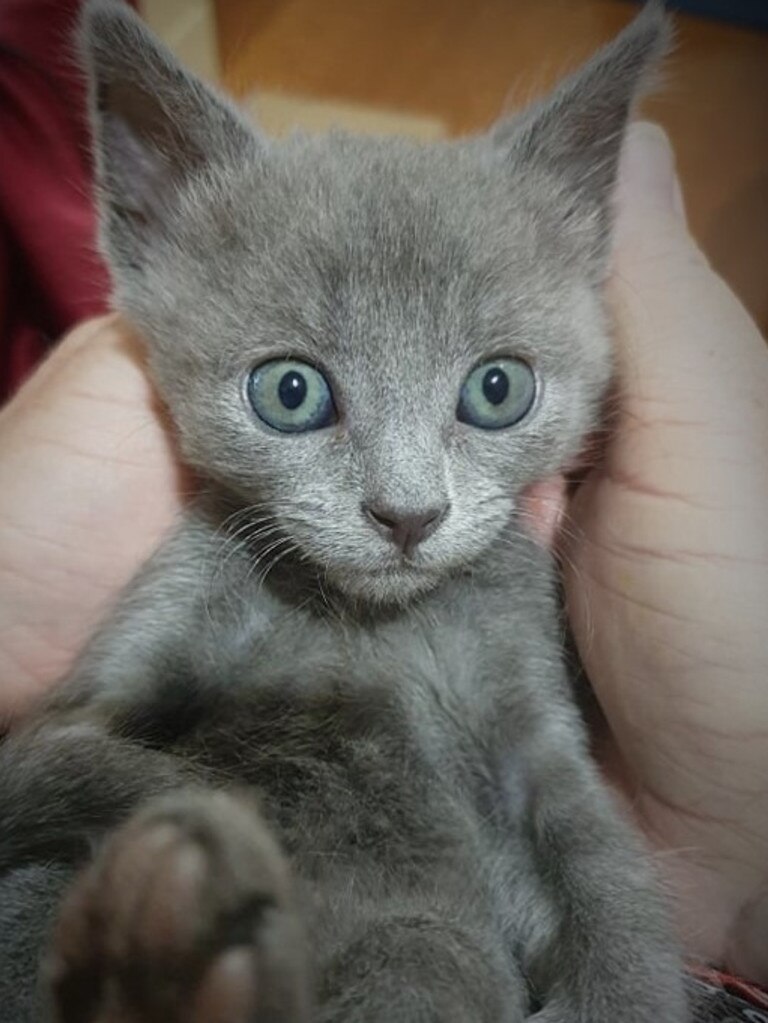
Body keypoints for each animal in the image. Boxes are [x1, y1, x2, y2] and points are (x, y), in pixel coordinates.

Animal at [0, 1, 687, 1023]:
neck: (365, 627)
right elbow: (72, 758)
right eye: (290, 392)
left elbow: (603, 867)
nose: (407, 513)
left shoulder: (531, 712)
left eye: (497, 389)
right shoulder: (132, 651)